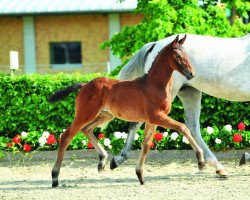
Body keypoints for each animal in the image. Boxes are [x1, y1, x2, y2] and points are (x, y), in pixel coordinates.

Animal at [49, 34, 205, 188]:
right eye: (177, 55)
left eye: (186, 54)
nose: (191, 74)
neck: (154, 85)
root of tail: (84, 85)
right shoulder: (157, 116)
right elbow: (182, 127)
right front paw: (201, 161)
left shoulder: (152, 120)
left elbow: (146, 145)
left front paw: (140, 175)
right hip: (85, 114)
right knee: (66, 136)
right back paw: (55, 177)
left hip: (105, 115)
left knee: (86, 129)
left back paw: (102, 161)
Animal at [111, 33, 250, 177]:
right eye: (178, 56)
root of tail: (155, 44)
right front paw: (245, 157)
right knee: (138, 122)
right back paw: (118, 160)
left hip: (190, 92)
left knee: (192, 127)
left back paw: (214, 166)